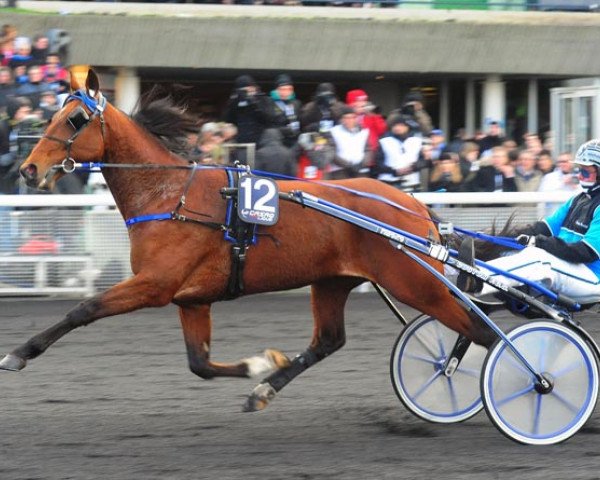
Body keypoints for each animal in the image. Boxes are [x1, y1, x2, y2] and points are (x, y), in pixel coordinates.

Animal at [5, 70, 492, 412]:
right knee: (328, 341)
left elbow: (84, 309)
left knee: (482, 332)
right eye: (51, 115)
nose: (29, 169)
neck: (169, 195)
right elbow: (199, 364)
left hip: (416, 283)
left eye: (75, 119)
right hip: (332, 281)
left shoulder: (156, 284)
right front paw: (259, 364)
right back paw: (264, 390)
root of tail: (417, 208)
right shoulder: (192, 298)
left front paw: (19, 353)